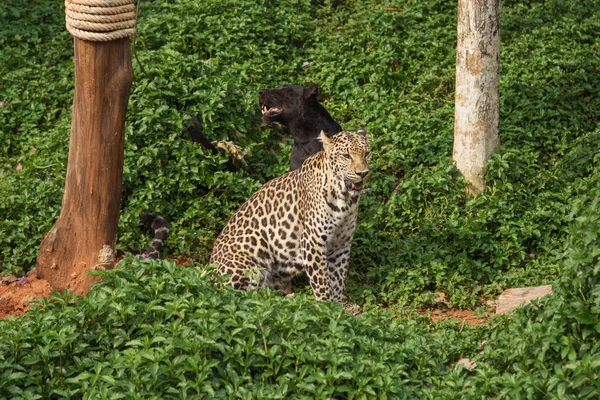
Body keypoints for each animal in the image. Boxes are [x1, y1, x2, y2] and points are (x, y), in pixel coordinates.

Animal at [210, 129, 370, 312]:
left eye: (367, 154)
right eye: (346, 156)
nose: (363, 173)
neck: (345, 199)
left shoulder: (341, 244)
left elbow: (338, 276)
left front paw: (342, 305)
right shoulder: (313, 240)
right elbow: (322, 279)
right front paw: (327, 308)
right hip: (250, 253)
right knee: (236, 298)